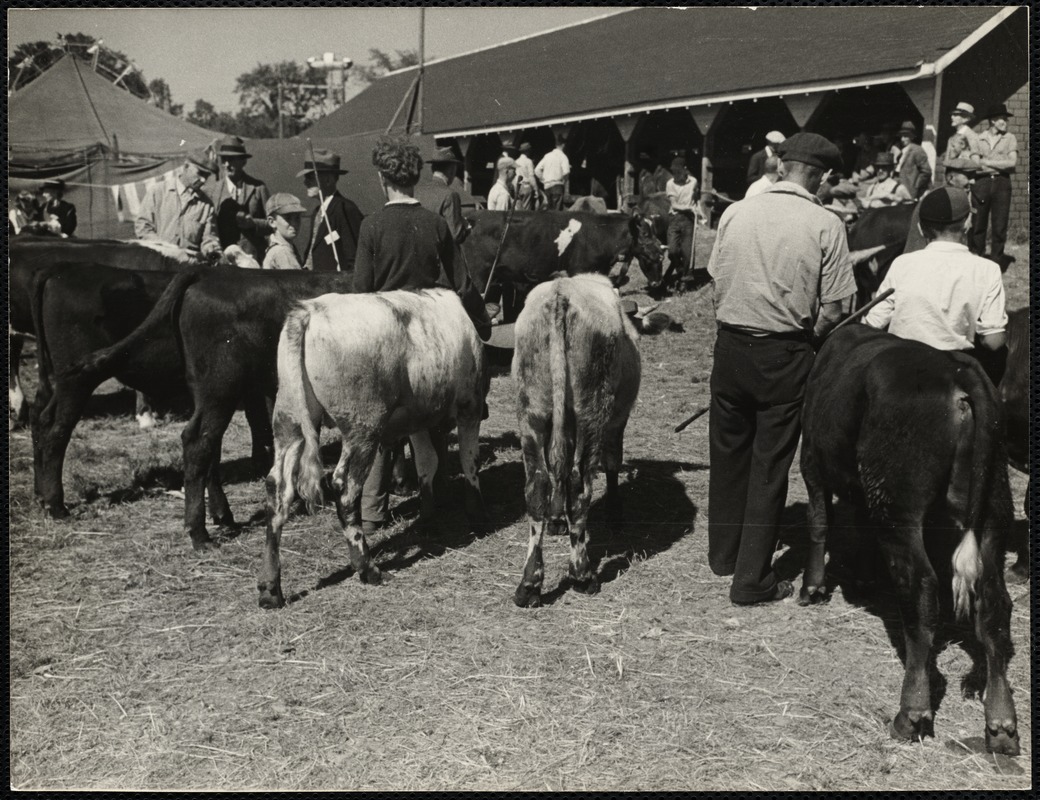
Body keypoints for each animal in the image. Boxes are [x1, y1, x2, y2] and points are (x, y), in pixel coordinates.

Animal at [257, 287, 488, 607]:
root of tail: (308, 312)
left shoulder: (417, 420)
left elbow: (427, 464)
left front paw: (429, 518)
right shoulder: (470, 406)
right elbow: (469, 462)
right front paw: (477, 516)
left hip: (288, 422)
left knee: (277, 489)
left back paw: (270, 587)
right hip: (362, 427)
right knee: (344, 488)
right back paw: (368, 569)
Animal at [463, 210, 665, 316]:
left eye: (654, 231)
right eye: (645, 233)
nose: (661, 254)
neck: (600, 234)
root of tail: (471, 216)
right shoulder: (580, 272)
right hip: (477, 276)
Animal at [511, 274, 640, 607]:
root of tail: (561, 294)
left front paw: (557, 518)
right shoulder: (617, 420)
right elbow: (613, 462)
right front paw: (615, 515)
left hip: (532, 413)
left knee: (538, 485)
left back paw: (529, 584)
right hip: (591, 414)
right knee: (580, 485)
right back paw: (583, 575)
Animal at [798, 320, 1019, 757]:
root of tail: (956, 369)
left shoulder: (812, 460)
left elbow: (819, 522)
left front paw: (813, 587)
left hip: (897, 504)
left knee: (920, 594)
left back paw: (911, 712)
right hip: (993, 505)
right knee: (993, 604)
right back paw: (1001, 721)